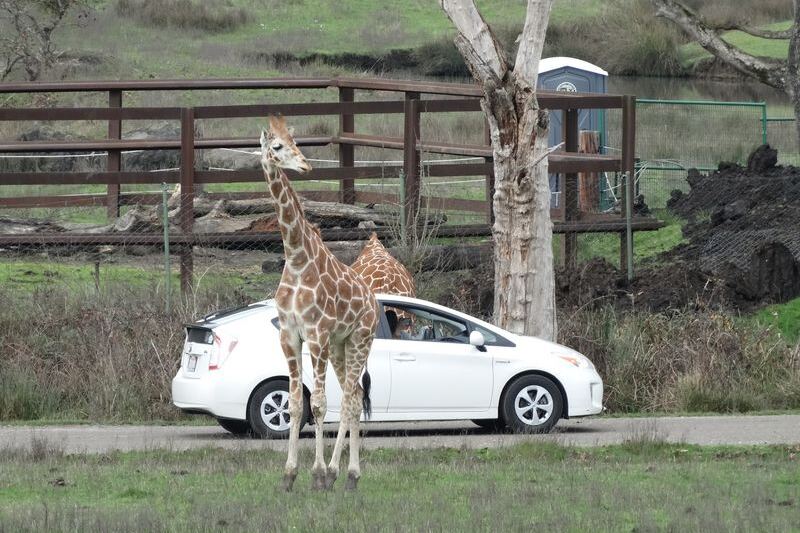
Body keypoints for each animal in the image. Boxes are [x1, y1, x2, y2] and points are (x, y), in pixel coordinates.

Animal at [259, 116, 378, 492]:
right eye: (277, 146)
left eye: (296, 143)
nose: (305, 165)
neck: (297, 260)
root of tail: (374, 301)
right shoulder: (289, 335)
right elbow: (297, 405)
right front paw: (289, 475)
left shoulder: (317, 334)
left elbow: (322, 405)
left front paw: (317, 473)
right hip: (342, 346)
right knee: (354, 394)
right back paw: (343, 473)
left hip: (359, 340)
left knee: (352, 400)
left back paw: (347, 474)